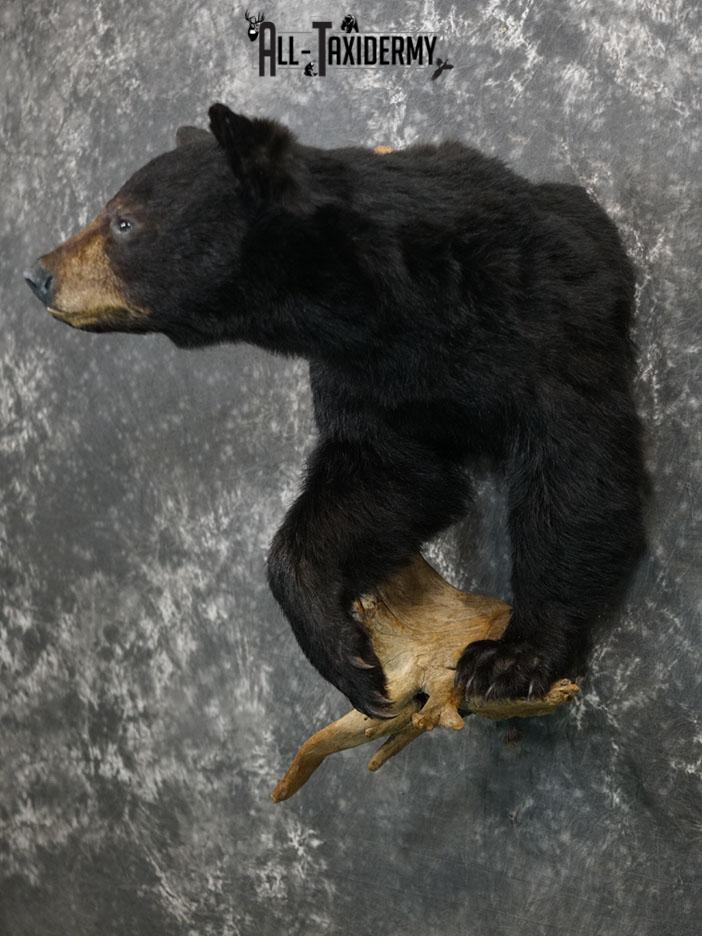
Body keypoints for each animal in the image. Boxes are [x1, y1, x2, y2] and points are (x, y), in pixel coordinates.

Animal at [24, 103, 646, 718]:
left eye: (122, 222)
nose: (37, 275)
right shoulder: (362, 377)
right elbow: (387, 474)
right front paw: (351, 659)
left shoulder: (538, 314)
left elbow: (572, 465)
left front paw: (512, 658)